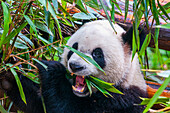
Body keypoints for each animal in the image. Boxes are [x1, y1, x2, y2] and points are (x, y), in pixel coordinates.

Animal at [0, 19, 147, 112]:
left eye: (97, 54)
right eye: (74, 48)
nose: (75, 66)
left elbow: (67, 108)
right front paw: (10, 74)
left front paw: (51, 69)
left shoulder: (122, 100)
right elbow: (37, 103)